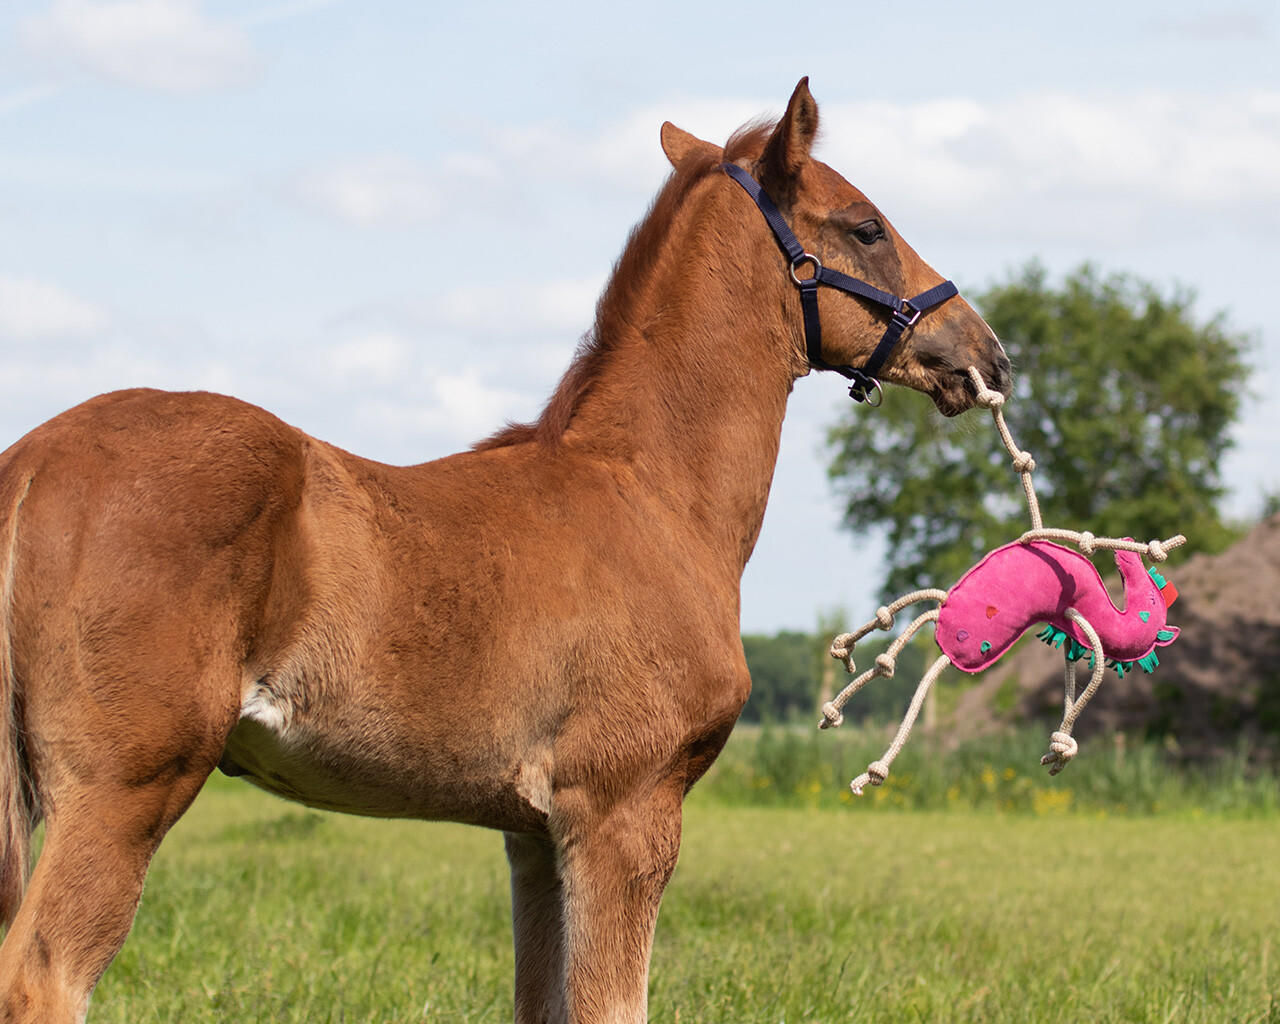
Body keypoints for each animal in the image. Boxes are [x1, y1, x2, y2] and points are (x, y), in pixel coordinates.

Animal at [0, 81, 1008, 1024]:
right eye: (866, 226)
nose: (986, 353)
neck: (649, 496)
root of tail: (32, 459)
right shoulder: (625, 812)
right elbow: (611, 1006)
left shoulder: (533, 835)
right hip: (125, 788)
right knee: (42, 975)